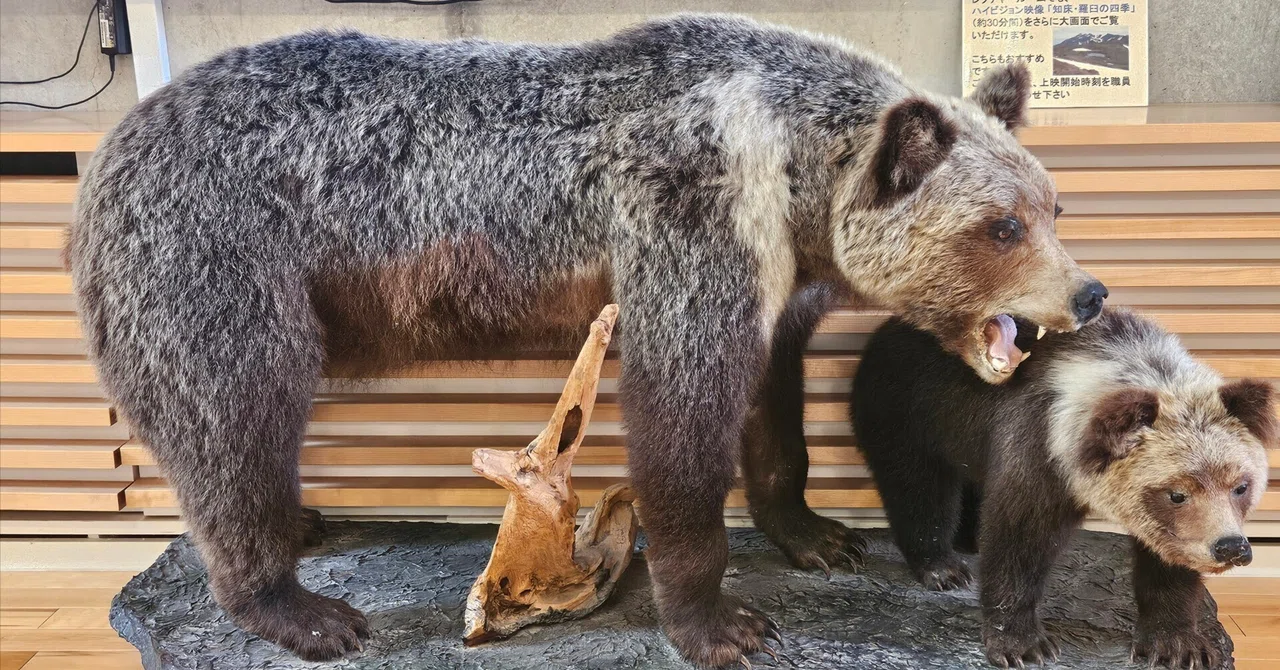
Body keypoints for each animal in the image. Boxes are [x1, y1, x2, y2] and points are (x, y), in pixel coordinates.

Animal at [66, 14, 1104, 668]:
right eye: (1001, 226)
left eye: (1051, 205)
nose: (1089, 292)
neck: (787, 177)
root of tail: (106, 155)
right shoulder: (689, 227)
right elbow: (681, 419)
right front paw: (725, 623)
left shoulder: (774, 281)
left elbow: (773, 408)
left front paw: (818, 535)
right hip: (214, 260)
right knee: (232, 416)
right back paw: (305, 608)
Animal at [850, 308, 1274, 669]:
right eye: (1177, 493)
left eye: (1240, 486)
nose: (1231, 547)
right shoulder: (1036, 446)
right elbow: (1018, 539)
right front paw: (1024, 645)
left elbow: (1167, 560)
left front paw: (1177, 644)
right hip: (907, 411)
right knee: (918, 486)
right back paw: (942, 566)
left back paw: (969, 540)